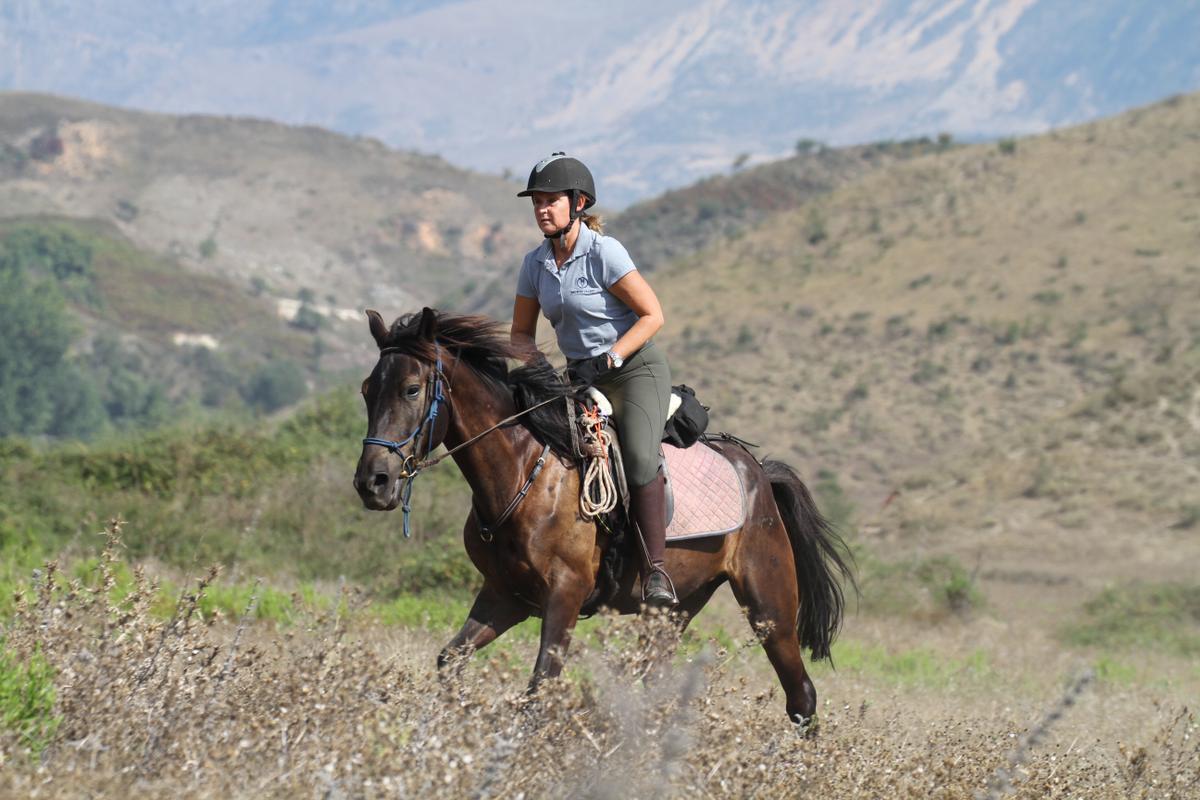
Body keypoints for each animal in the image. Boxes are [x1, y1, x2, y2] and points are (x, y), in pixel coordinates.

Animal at [353, 308, 853, 725]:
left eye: (411, 389)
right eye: (366, 390)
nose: (372, 483)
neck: (524, 472)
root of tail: (759, 473)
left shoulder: (565, 595)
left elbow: (539, 689)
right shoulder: (505, 595)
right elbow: (449, 661)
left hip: (769, 607)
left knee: (801, 695)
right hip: (672, 612)